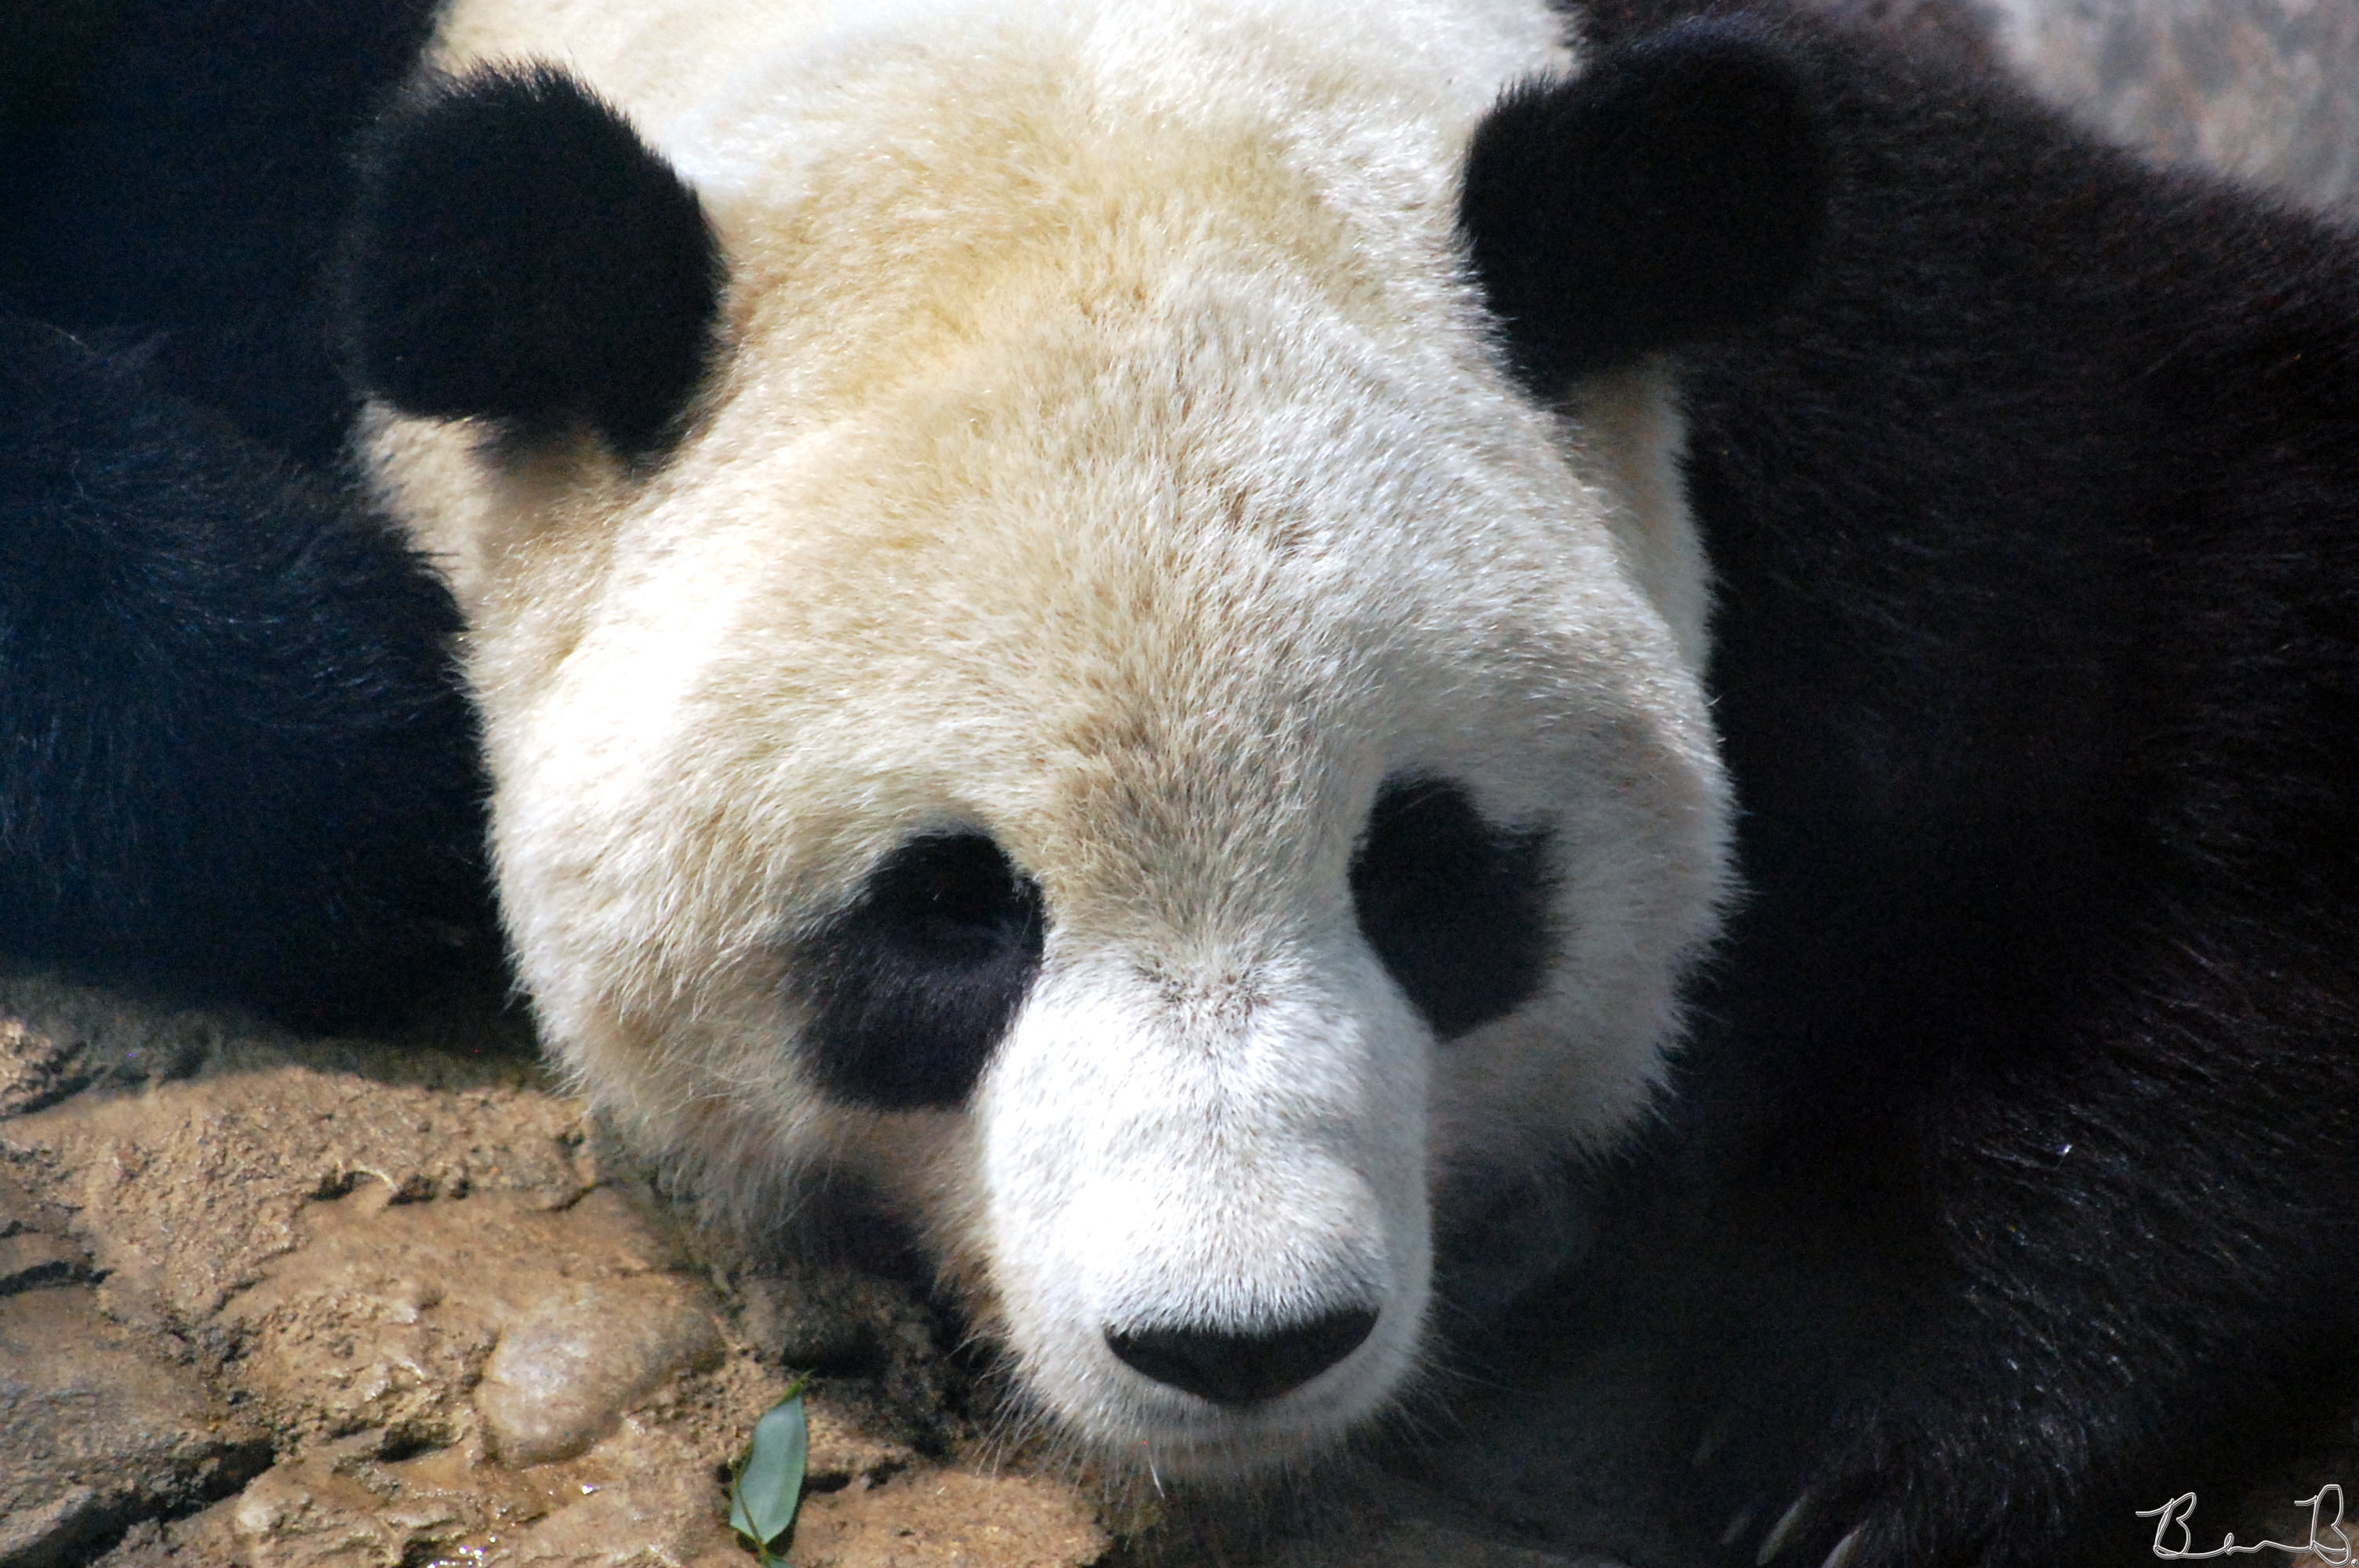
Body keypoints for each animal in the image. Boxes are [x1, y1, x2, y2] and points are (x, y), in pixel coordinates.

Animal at [7, 1, 2359, 1564]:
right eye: (948, 908)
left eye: (1432, 874)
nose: (1242, 1341)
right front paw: (379, 708)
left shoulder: (1884, 346)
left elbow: (2222, 508)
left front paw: (1877, 1433)